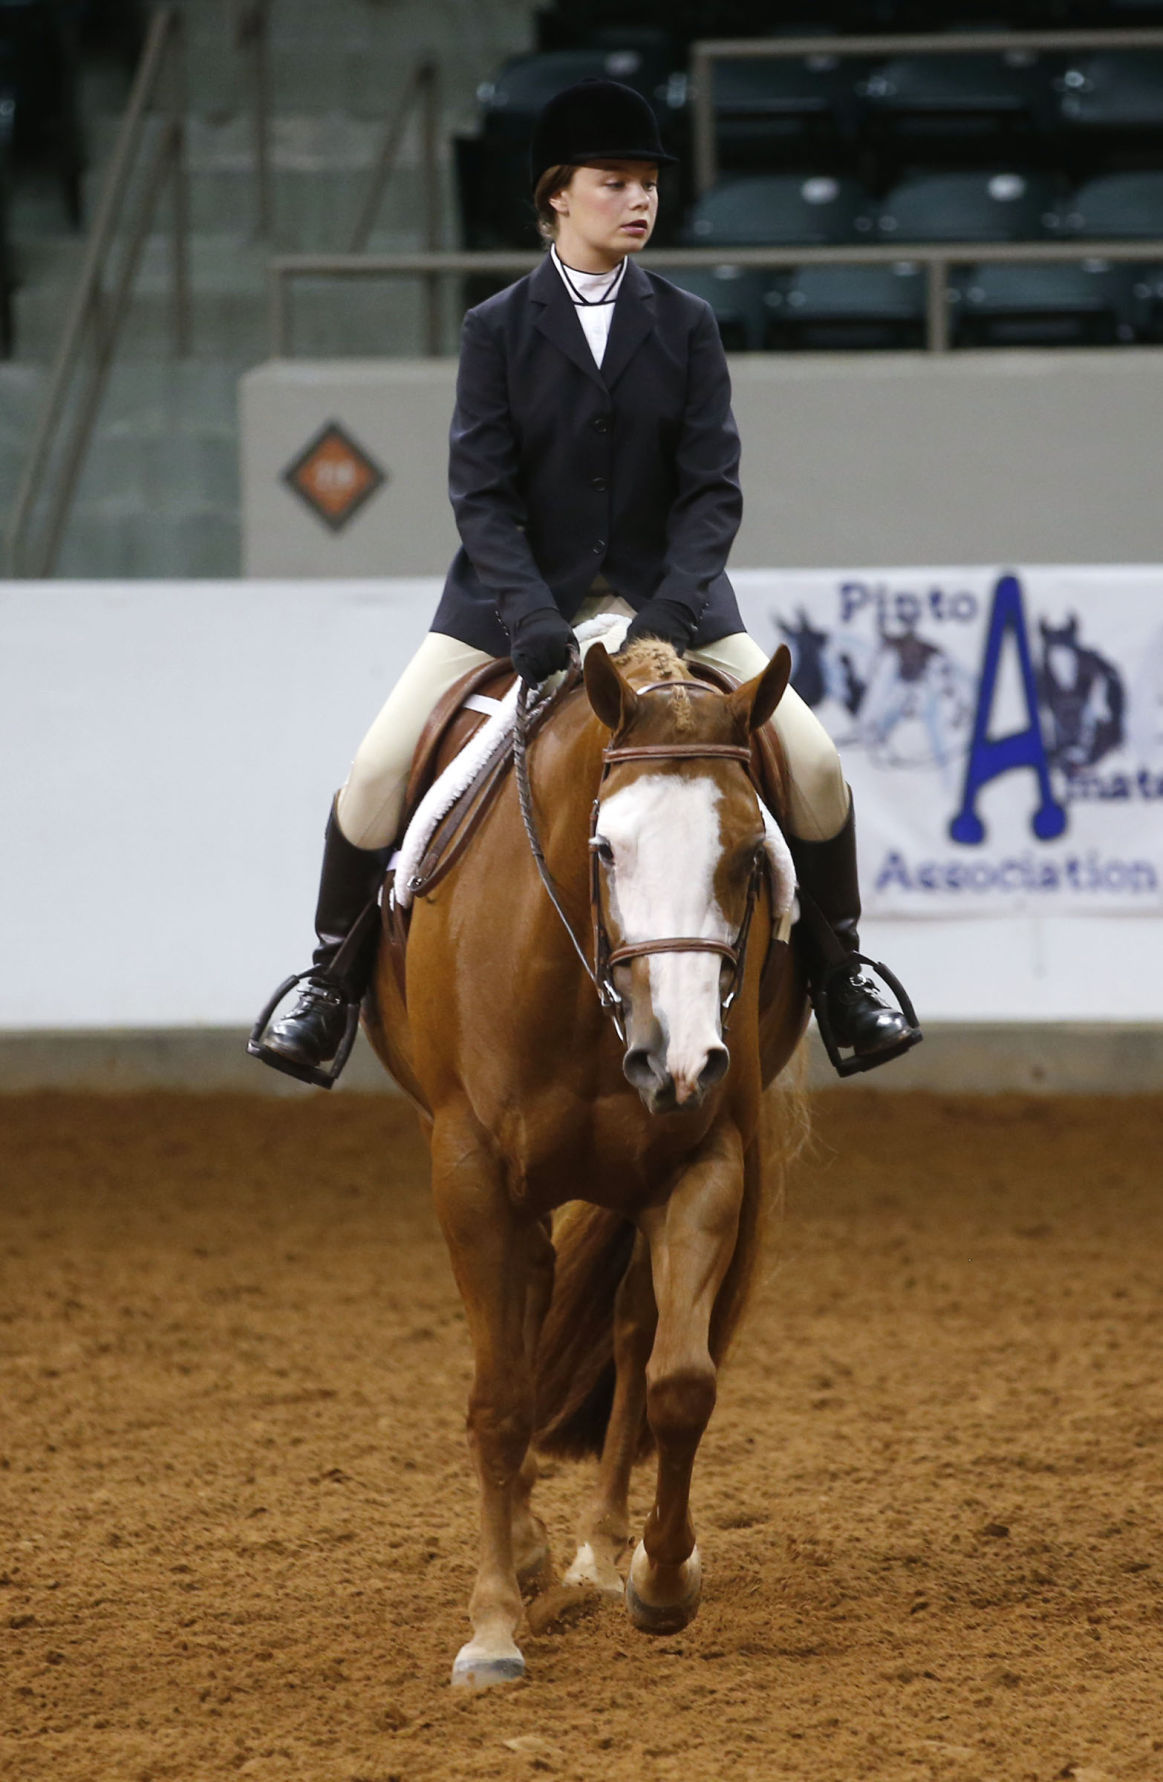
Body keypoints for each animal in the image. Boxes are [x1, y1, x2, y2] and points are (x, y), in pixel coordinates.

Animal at [363, 634, 809, 1688]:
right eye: (605, 849)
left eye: (749, 857)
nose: (676, 1060)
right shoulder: (471, 1174)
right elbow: (498, 1399)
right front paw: (491, 1628)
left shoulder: (704, 1159)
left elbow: (677, 1382)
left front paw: (662, 1577)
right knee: (526, 1324)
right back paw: (528, 1552)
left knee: (630, 1331)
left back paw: (599, 1557)